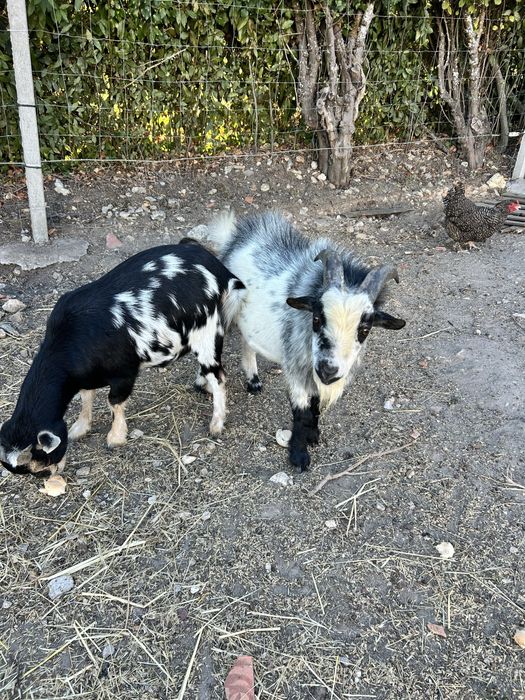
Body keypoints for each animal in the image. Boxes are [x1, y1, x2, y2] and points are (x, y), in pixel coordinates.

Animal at [0, 240, 245, 478]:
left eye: (42, 460)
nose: (52, 475)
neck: (70, 338)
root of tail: (217, 267)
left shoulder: (124, 372)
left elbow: (114, 401)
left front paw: (115, 438)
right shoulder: (86, 376)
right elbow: (86, 396)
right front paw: (79, 428)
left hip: (206, 330)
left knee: (218, 375)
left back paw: (216, 423)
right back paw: (203, 385)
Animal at [208, 211, 406, 470]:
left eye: (364, 329)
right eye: (316, 318)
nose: (329, 369)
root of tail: (237, 236)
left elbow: (315, 404)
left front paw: (314, 435)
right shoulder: (296, 368)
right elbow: (301, 411)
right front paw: (299, 456)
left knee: (247, 342)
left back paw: (254, 381)